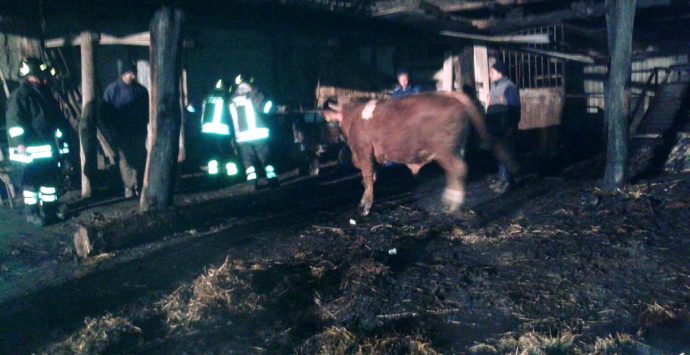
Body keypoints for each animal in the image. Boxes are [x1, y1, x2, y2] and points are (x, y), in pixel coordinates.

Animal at [322, 92, 516, 216]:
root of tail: (451, 96)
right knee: (455, 172)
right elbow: (371, 179)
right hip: (456, 148)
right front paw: (364, 202)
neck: (353, 116)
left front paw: (366, 207)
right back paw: (450, 199)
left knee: (458, 169)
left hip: (445, 150)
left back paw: (453, 204)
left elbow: (368, 178)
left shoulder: (363, 152)